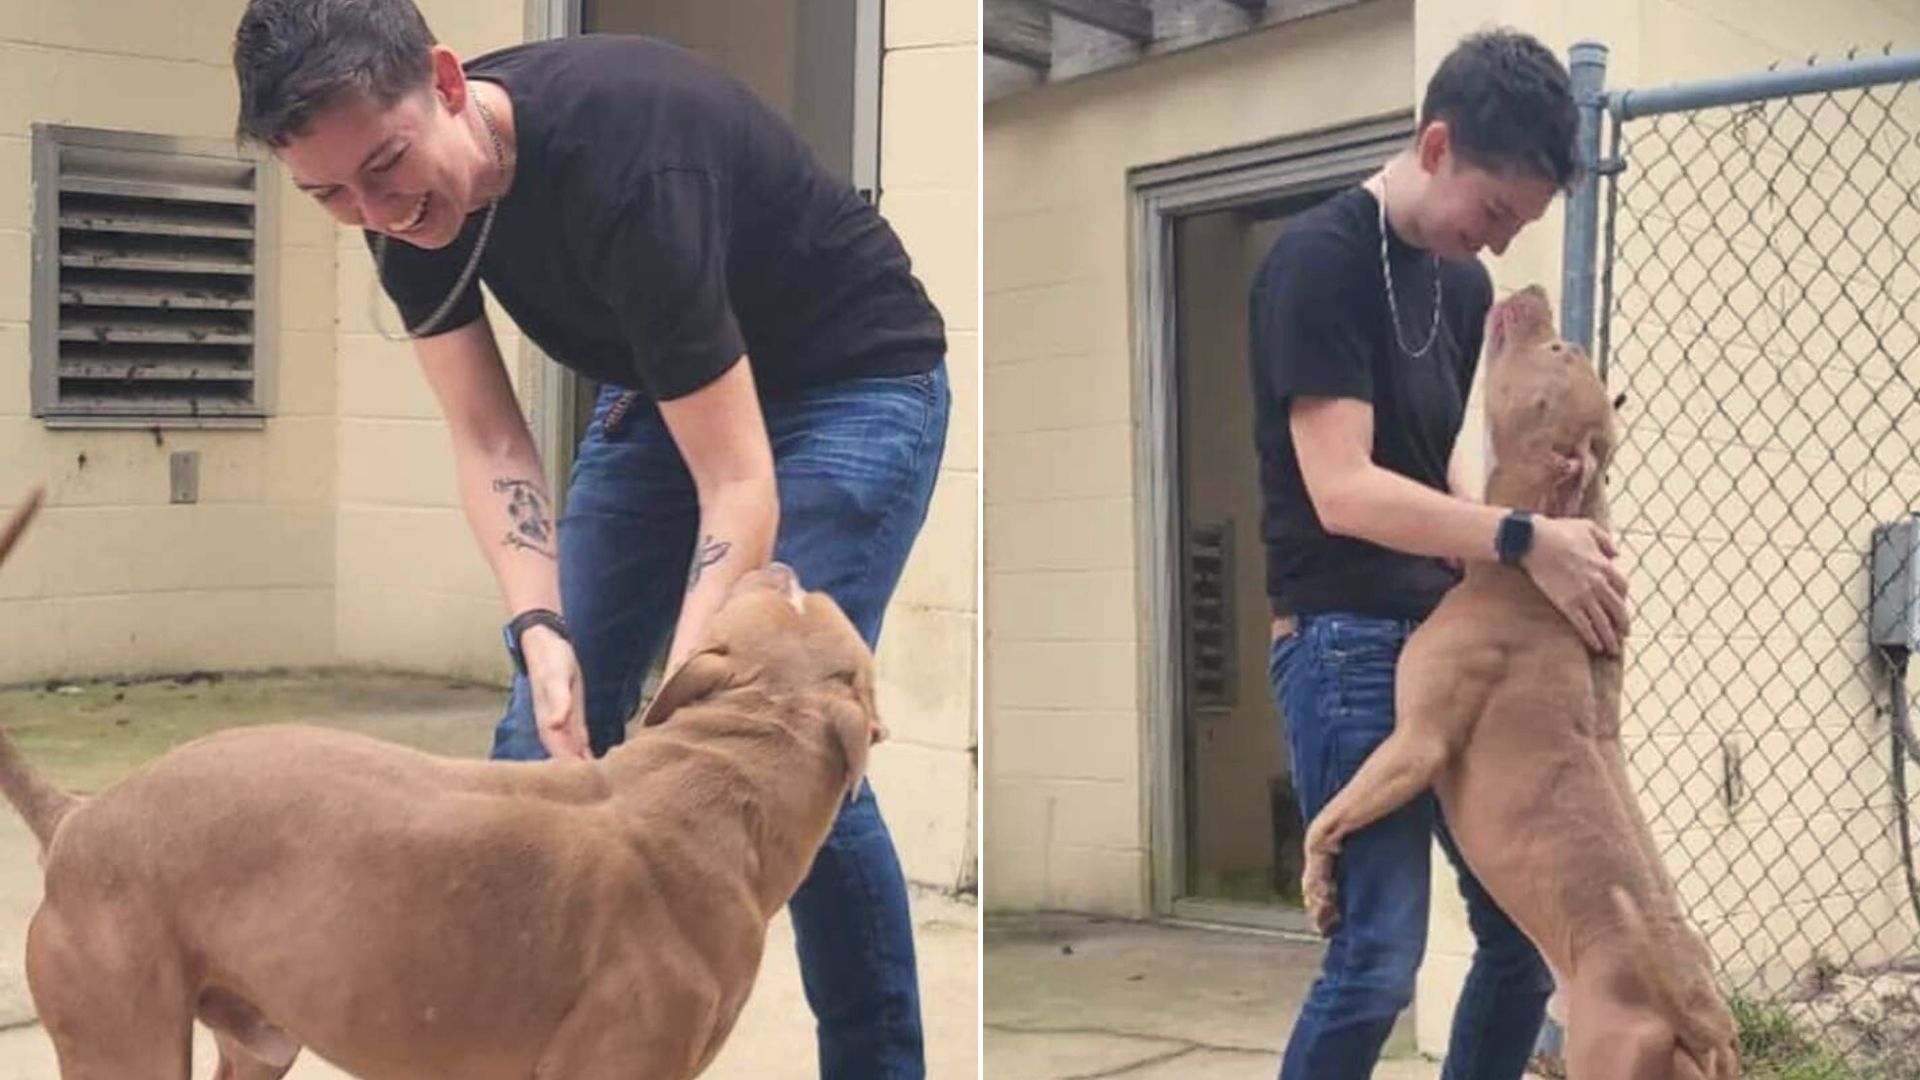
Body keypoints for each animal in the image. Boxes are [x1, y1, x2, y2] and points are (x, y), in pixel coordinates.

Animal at [1305, 286, 1743, 1076]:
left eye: (1559, 349)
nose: (1531, 292)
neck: (1526, 575)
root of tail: (1702, 1024)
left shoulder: (1413, 744)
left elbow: (1330, 814)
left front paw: (1318, 890)